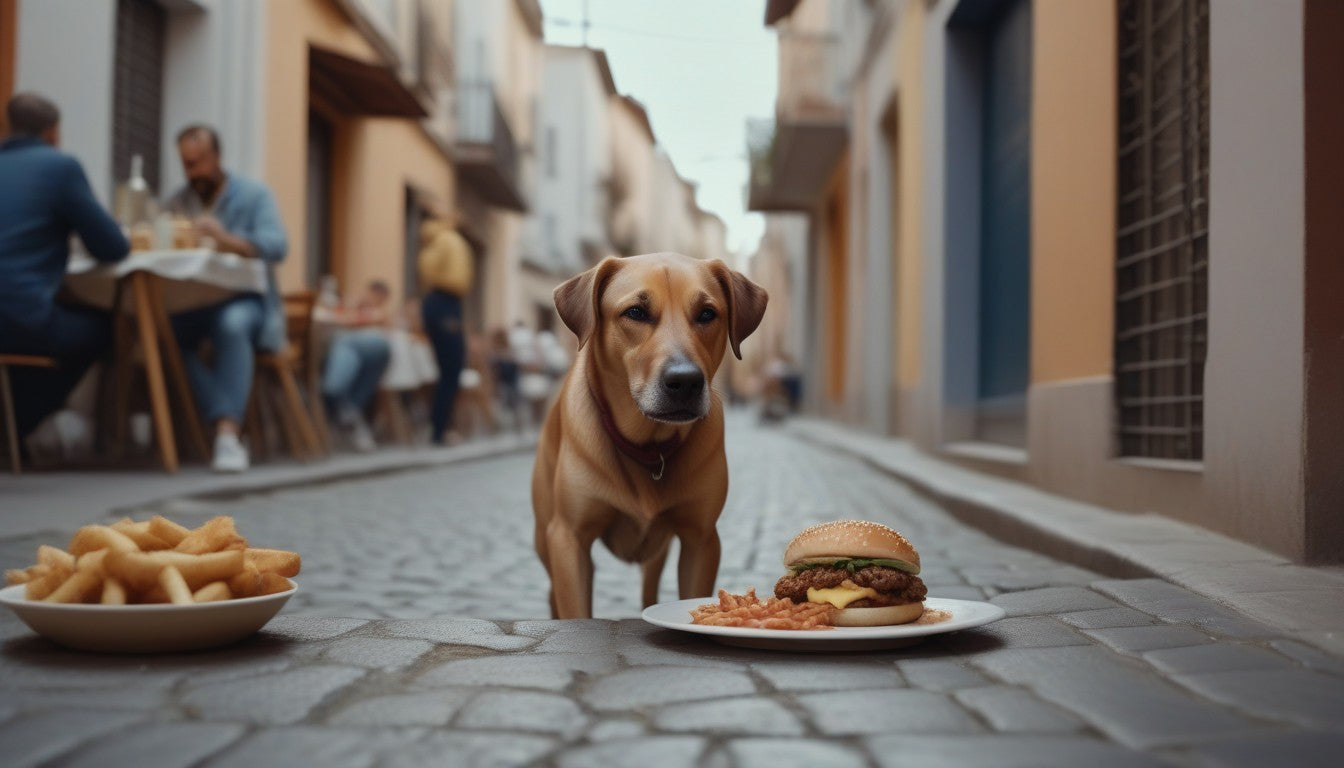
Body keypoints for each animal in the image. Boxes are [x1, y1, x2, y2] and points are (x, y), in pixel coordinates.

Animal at [532, 252, 768, 618]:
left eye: (707, 314)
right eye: (636, 312)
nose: (685, 381)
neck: (648, 446)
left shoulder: (700, 540)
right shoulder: (569, 538)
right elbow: (575, 607)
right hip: (545, 536)